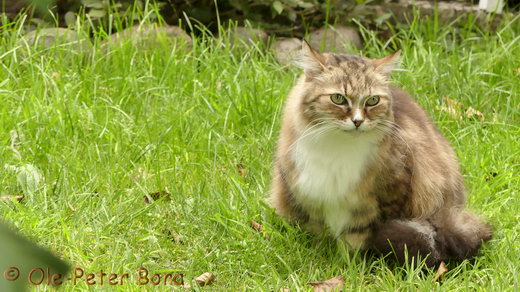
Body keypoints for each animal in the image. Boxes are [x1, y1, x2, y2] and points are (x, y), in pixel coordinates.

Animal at [270, 40, 494, 266]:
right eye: (338, 98)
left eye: (372, 100)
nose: (357, 121)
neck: (338, 148)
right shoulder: (309, 196)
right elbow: (319, 233)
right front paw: (323, 257)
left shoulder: (387, 196)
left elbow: (358, 237)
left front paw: (351, 264)